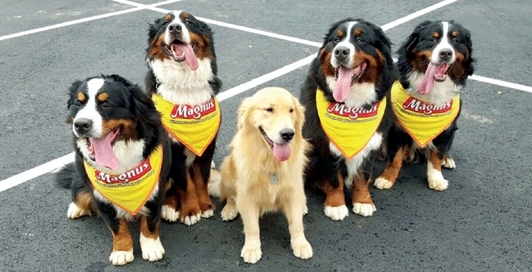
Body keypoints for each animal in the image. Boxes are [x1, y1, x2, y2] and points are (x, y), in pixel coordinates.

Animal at [54, 74, 170, 266]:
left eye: (106, 104)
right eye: (78, 104)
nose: (81, 124)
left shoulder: (156, 186)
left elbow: (151, 221)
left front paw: (151, 246)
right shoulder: (100, 194)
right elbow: (116, 226)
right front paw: (122, 250)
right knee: (78, 192)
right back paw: (76, 208)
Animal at [144, 10, 221, 226]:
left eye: (189, 22)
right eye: (165, 23)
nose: (175, 28)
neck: (185, 82)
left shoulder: (208, 143)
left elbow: (201, 178)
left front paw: (205, 205)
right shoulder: (174, 148)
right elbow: (185, 183)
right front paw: (191, 210)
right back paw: (169, 208)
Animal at [210, 87, 314, 264]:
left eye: (291, 110)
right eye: (269, 109)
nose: (288, 134)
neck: (271, 162)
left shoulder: (292, 190)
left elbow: (296, 224)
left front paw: (300, 244)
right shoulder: (247, 195)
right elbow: (252, 227)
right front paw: (252, 248)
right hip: (228, 169)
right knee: (230, 196)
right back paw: (229, 209)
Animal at [302, 18, 396, 220]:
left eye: (360, 40)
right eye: (336, 40)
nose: (340, 51)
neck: (352, 105)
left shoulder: (371, 144)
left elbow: (363, 176)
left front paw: (363, 201)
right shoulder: (325, 145)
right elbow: (334, 179)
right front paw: (336, 205)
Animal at [374, 20, 474, 191]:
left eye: (455, 40)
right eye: (432, 39)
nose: (446, 53)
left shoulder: (446, 127)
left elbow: (436, 156)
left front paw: (436, 178)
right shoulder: (397, 127)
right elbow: (395, 158)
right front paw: (386, 178)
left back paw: (447, 159)